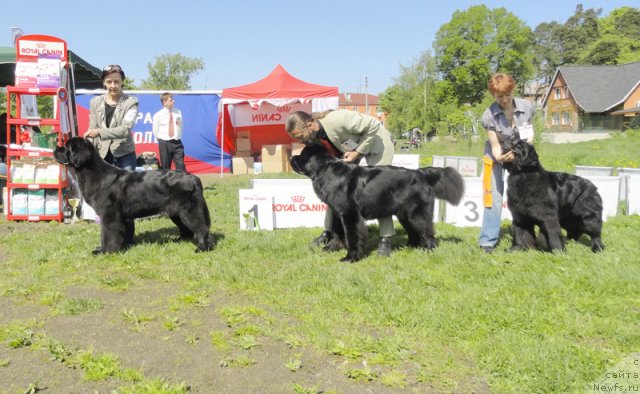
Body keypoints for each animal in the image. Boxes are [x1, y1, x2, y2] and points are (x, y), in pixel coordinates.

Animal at [55, 137, 215, 254]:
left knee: (201, 228)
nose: (55, 149)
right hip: (176, 212)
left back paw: (203, 248)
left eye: (66, 147)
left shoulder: (109, 214)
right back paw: (179, 240)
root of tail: (192, 177)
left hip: (189, 210)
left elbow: (107, 233)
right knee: (186, 228)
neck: (94, 173)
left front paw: (106, 251)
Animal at [290, 145, 464, 262]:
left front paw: (351, 257)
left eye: (302, 155)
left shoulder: (349, 214)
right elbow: (338, 232)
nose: (291, 158)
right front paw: (332, 248)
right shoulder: (338, 212)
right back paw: (410, 247)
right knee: (414, 232)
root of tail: (421, 172)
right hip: (404, 214)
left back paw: (428, 251)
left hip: (417, 213)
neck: (326, 170)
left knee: (428, 233)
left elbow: (352, 236)